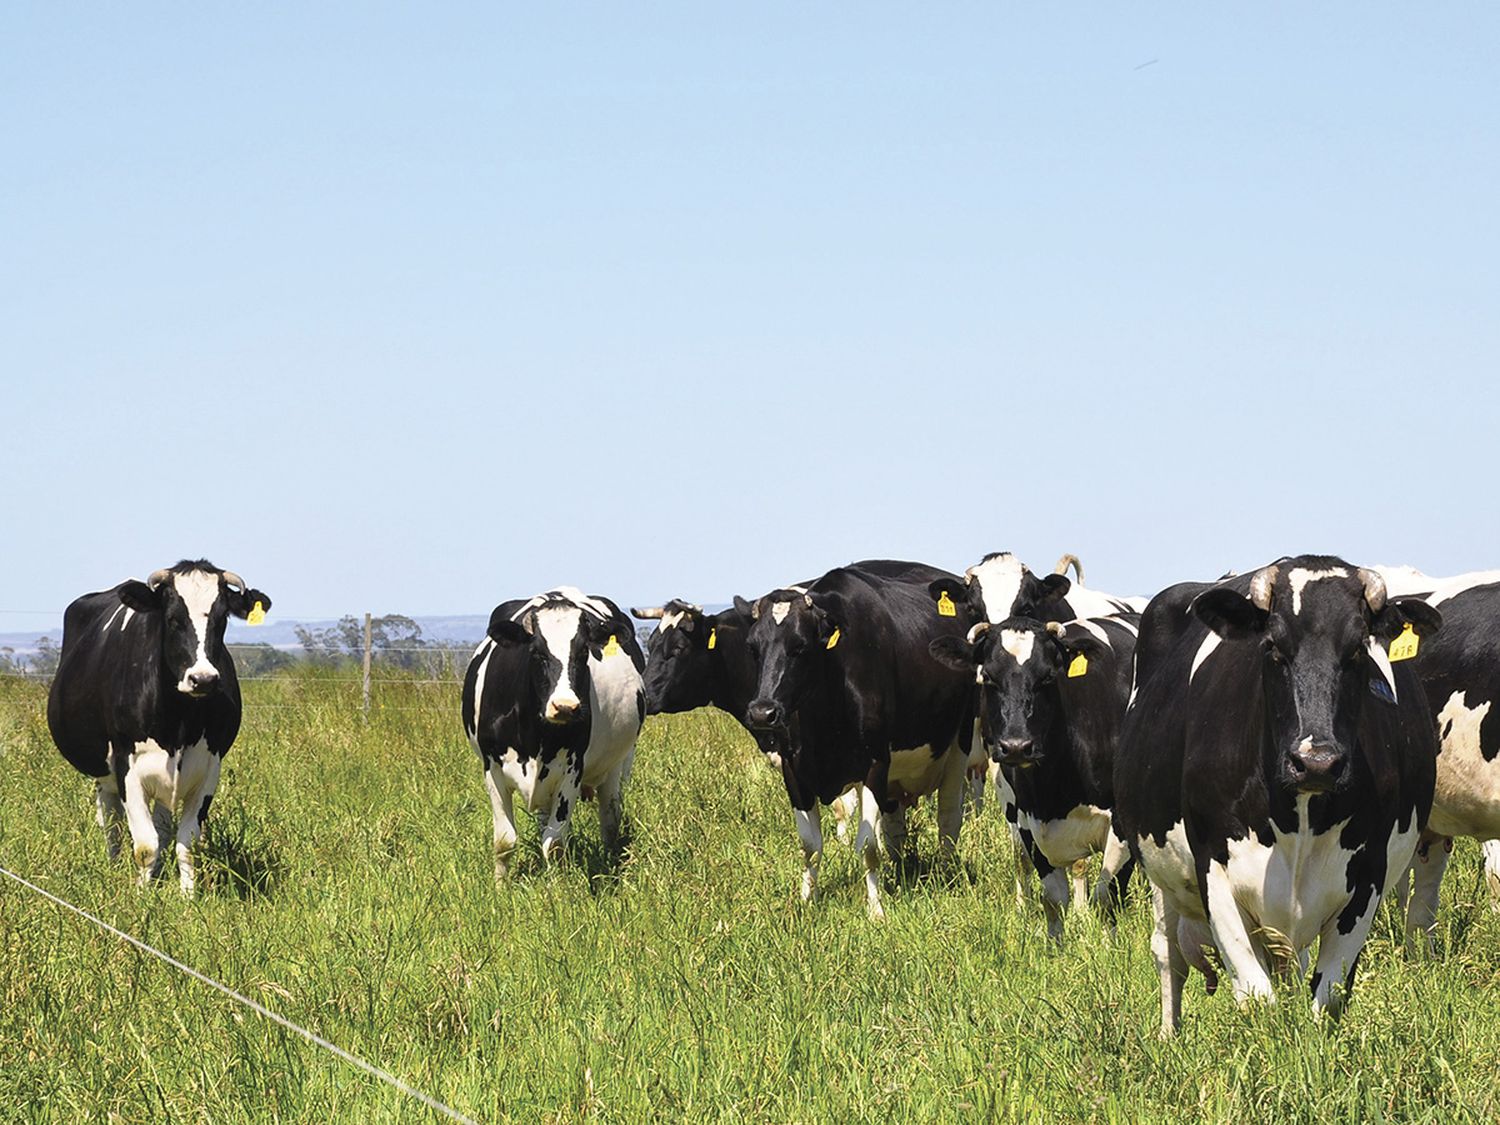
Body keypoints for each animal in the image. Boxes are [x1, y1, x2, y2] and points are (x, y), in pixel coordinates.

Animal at [46, 564, 276, 900]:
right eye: (172, 619)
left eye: (221, 619)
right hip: (105, 774)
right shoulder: (127, 766)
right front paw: (142, 898)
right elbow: (144, 845)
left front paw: (188, 898)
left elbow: (187, 842)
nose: (203, 679)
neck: (178, 723)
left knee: (162, 826)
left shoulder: (208, 767)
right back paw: (115, 866)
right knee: (111, 824)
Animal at [456, 585, 645, 888]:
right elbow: (504, 841)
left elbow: (554, 843)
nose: (565, 706)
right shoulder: (492, 768)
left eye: (584, 652)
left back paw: (609, 858)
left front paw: (557, 888)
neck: (534, 734)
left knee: (610, 817)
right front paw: (499, 888)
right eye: (536, 652)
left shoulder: (572, 768)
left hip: (616, 763)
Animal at [732, 561, 978, 918]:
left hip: (960, 743)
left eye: (800, 646)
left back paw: (945, 873)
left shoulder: (875, 763)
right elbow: (811, 846)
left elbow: (868, 846)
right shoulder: (793, 770)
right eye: (753, 648)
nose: (763, 713)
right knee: (895, 829)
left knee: (948, 820)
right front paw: (806, 903)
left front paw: (875, 910)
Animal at [924, 618, 1134, 942]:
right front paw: (1055, 946)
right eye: (988, 678)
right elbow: (1053, 899)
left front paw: (1107, 947)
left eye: (1048, 677)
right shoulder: (1027, 822)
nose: (1016, 746)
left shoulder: (1124, 824)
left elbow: (1106, 896)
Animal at [1116, 561, 1440, 1038]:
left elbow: (1327, 998)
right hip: (1161, 872)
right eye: (1271, 647)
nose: (1317, 762)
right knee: (1168, 953)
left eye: (1359, 648)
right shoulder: (1214, 867)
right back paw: (1168, 1036)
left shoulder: (1369, 876)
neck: (1300, 818)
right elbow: (1256, 998)